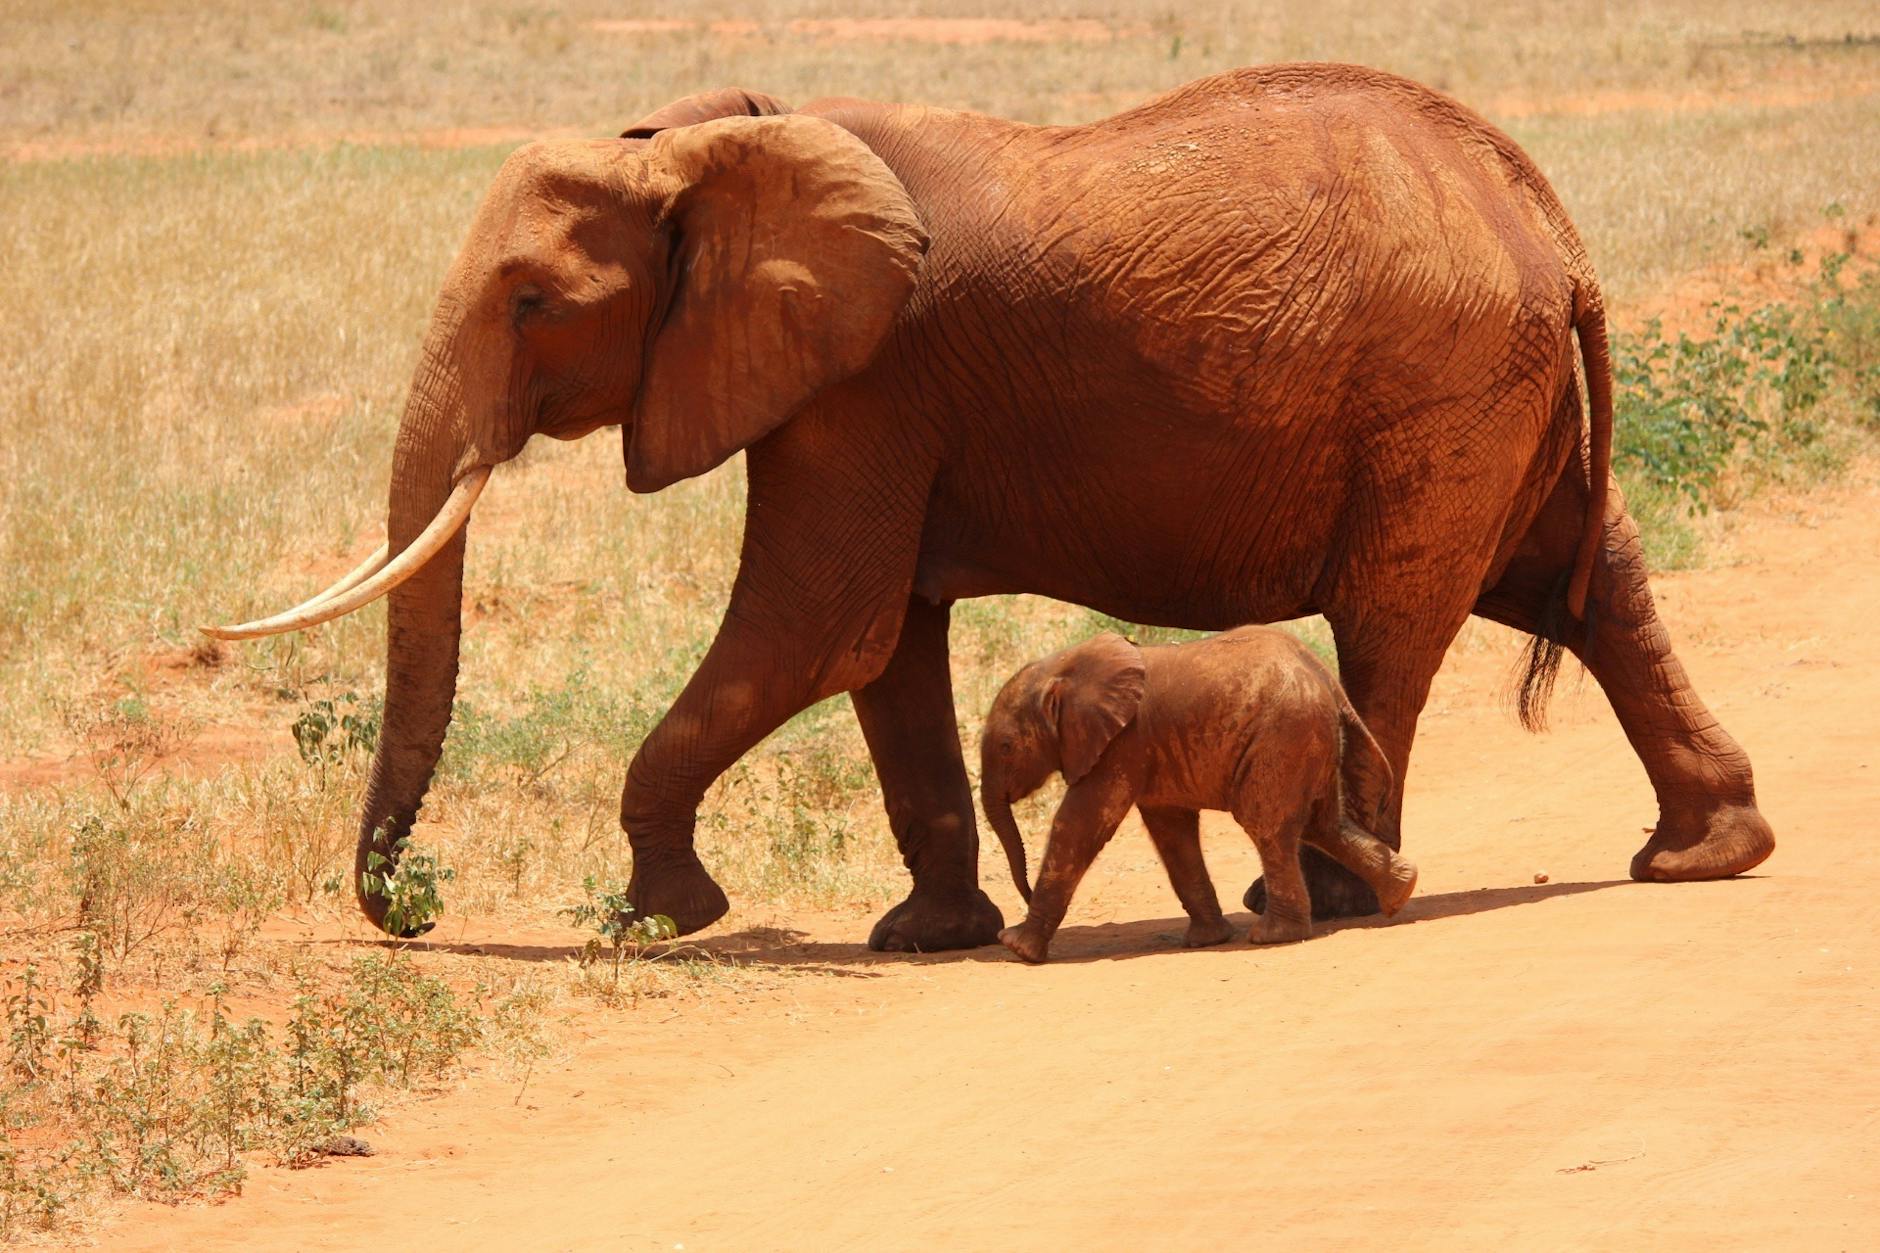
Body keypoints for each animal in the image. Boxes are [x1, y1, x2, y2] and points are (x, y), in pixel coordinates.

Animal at [980, 629, 1418, 963]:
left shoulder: (1122, 744)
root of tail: (1327, 680)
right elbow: (1172, 833)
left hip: (1282, 738)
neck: (1062, 668)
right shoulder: (1148, 751)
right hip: (1307, 740)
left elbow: (1079, 825)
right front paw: (1208, 940)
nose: (1023, 893)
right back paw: (1401, 892)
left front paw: (1017, 947)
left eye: (1005, 747)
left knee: (1269, 828)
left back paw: (1274, 935)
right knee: (1324, 825)